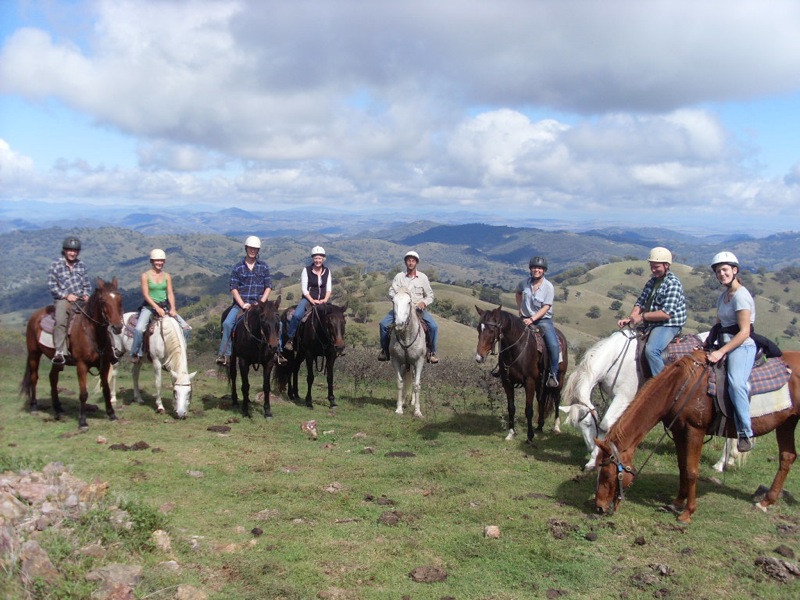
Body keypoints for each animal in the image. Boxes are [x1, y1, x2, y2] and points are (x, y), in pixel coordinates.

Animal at [21, 278, 125, 428]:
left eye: (119, 299)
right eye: (103, 301)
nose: (117, 327)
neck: (93, 333)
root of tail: (35, 316)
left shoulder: (104, 364)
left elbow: (105, 389)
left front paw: (111, 414)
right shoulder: (82, 365)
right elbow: (83, 393)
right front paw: (82, 421)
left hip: (57, 360)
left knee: (53, 378)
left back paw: (58, 408)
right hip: (34, 353)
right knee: (34, 377)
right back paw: (34, 406)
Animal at [476, 308, 568, 442]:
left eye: (492, 330)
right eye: (479, 329)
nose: (479, 357)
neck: (516, 348)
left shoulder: (529, 381)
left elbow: (528, 410)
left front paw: (529, 437)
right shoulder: (507, 382)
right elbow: (511, 408)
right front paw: (511, 433)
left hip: (559, 379)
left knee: (556, 399)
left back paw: (556, 427)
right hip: (540, 382)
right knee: (541, 399)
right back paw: (540, 426)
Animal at [560, 330, 740, 472]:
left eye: (588, 423)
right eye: (577, 426)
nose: (590, 446)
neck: (615, 358)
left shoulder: (624, 397)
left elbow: (605, 426)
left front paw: (592, 460)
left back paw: (720, 464)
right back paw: (729, 460)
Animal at [592, 350, 800, 524]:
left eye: (608, 473)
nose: (600, 507)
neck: (680, 387)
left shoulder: (695, 431)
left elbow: (692, 471)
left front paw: (687, 512)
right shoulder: (679, 430)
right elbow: (682, 467)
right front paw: (676, 502)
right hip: (787, 423)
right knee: (787, 457)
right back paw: (766, 501)